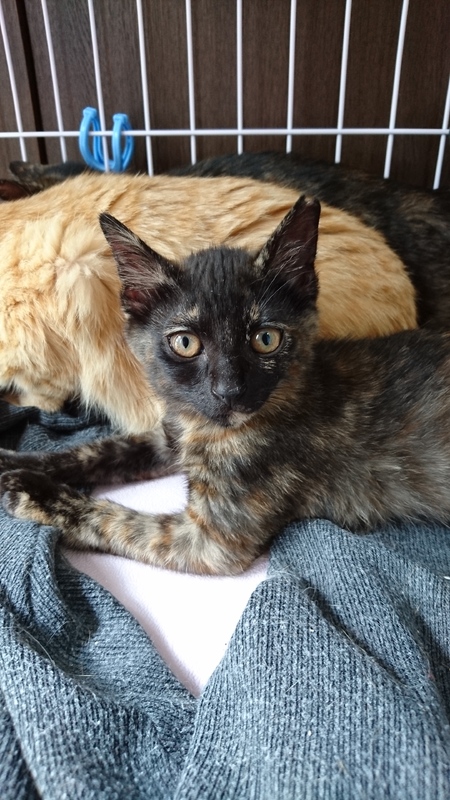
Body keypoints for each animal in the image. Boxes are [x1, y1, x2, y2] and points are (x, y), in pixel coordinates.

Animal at [1, 196, 450, 576]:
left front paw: (33, 493)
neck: (201, 429)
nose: (228, 390)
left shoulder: (212, 541)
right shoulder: (168, 436)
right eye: (185, 343)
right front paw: (14, 462)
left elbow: (117, 520)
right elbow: (96, 450)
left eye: (266, 338)